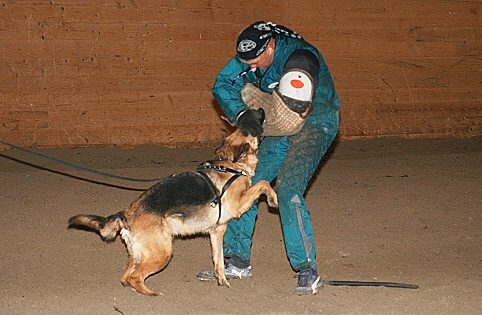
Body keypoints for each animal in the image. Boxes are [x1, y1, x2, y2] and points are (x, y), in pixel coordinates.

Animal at [68, 129, 278, 296]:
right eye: (251, 129)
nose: (262, 112)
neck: (229, 165)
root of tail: (125, 214)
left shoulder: (216, 232)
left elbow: (218, 261)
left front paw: (222, 280)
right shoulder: (237, 204)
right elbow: (262, 183)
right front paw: (273, 198)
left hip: (139, 254)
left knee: (125, 277)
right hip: (163, 253)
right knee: (134, 278)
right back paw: (152, 294)